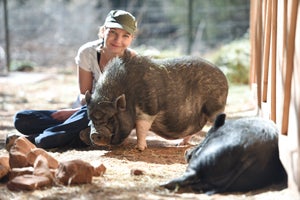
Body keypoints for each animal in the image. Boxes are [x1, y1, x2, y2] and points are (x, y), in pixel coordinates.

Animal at [85, 54, 229, 150]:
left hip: (215, 107)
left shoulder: (148, 110)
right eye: (90, 117)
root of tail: (223, 75)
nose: (95, 134)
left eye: (111, 118)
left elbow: (141, 129)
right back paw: (180, 144)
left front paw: (139, 148)